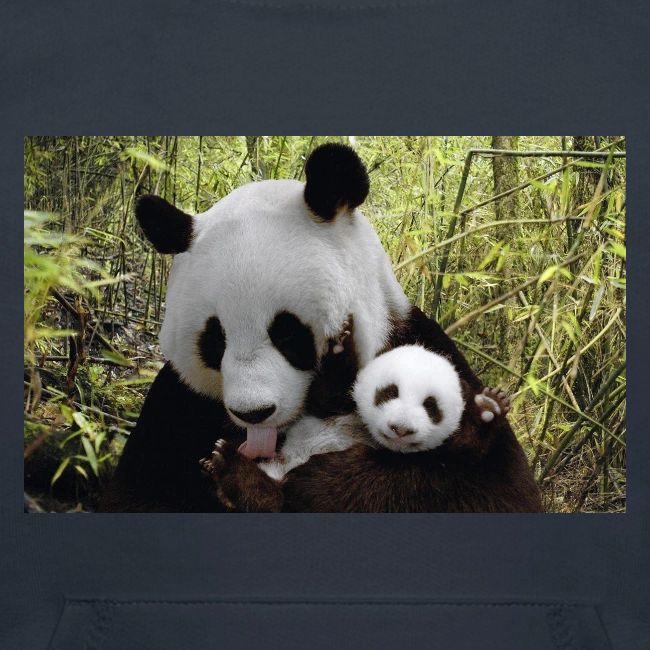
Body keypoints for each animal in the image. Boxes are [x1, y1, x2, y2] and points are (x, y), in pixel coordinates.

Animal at [100, 143, 541, 513]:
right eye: (215, 340)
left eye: (287, 333)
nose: (254, 413)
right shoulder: (178, 405)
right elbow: (139, 494)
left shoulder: (421, 347)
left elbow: (489, 489)